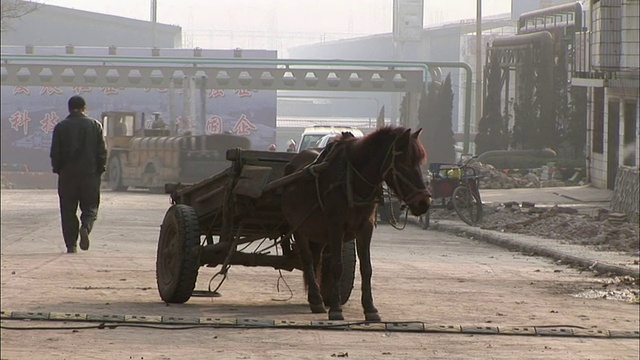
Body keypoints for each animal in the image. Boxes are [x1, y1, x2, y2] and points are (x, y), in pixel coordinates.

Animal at [280, 126, 430, 320]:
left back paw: (315, 299)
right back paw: (317, 299)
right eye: (403, 163)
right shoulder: (336, 225)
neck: (353, 180)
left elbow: (366, 268)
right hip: (298, 227)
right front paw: (336, 308)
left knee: (316, 259)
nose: (424, 202)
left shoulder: (365, 227)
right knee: (307, 260)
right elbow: (338, 266)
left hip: (317, 230)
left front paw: (370, 308)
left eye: (419, 163)